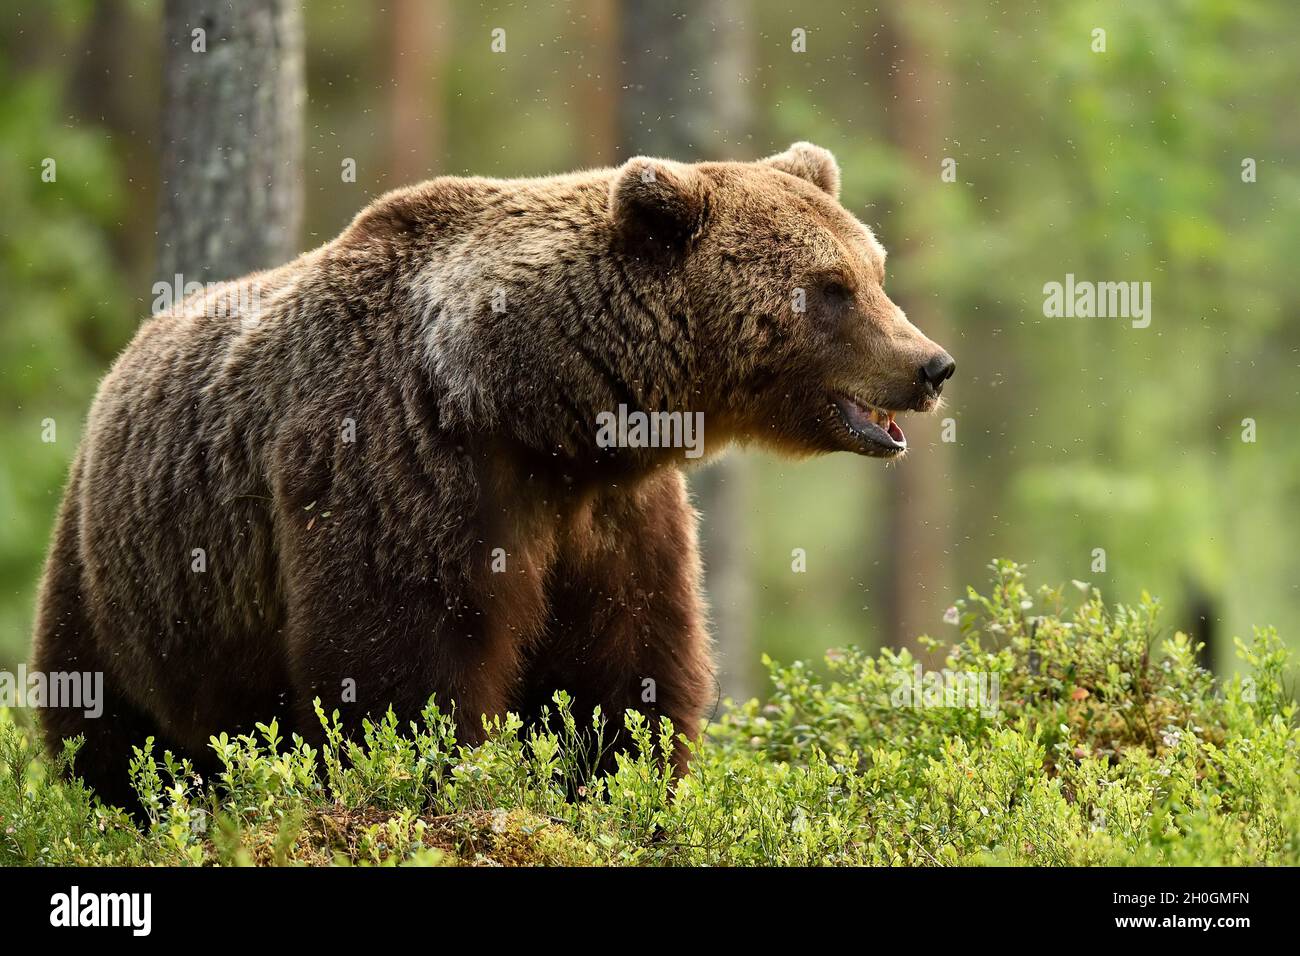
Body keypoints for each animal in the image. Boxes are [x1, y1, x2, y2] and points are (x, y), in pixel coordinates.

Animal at [31, 142, 954, 809]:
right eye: (829, 288)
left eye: (871, 271)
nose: (931, 364)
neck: (536, 408)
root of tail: (119, 365)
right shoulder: (408, 465)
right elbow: (402, 664)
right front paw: (441, 782)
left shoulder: (614, 512)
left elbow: (627, 664)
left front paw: (624, 784)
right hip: (125, 584)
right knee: (108, 729)